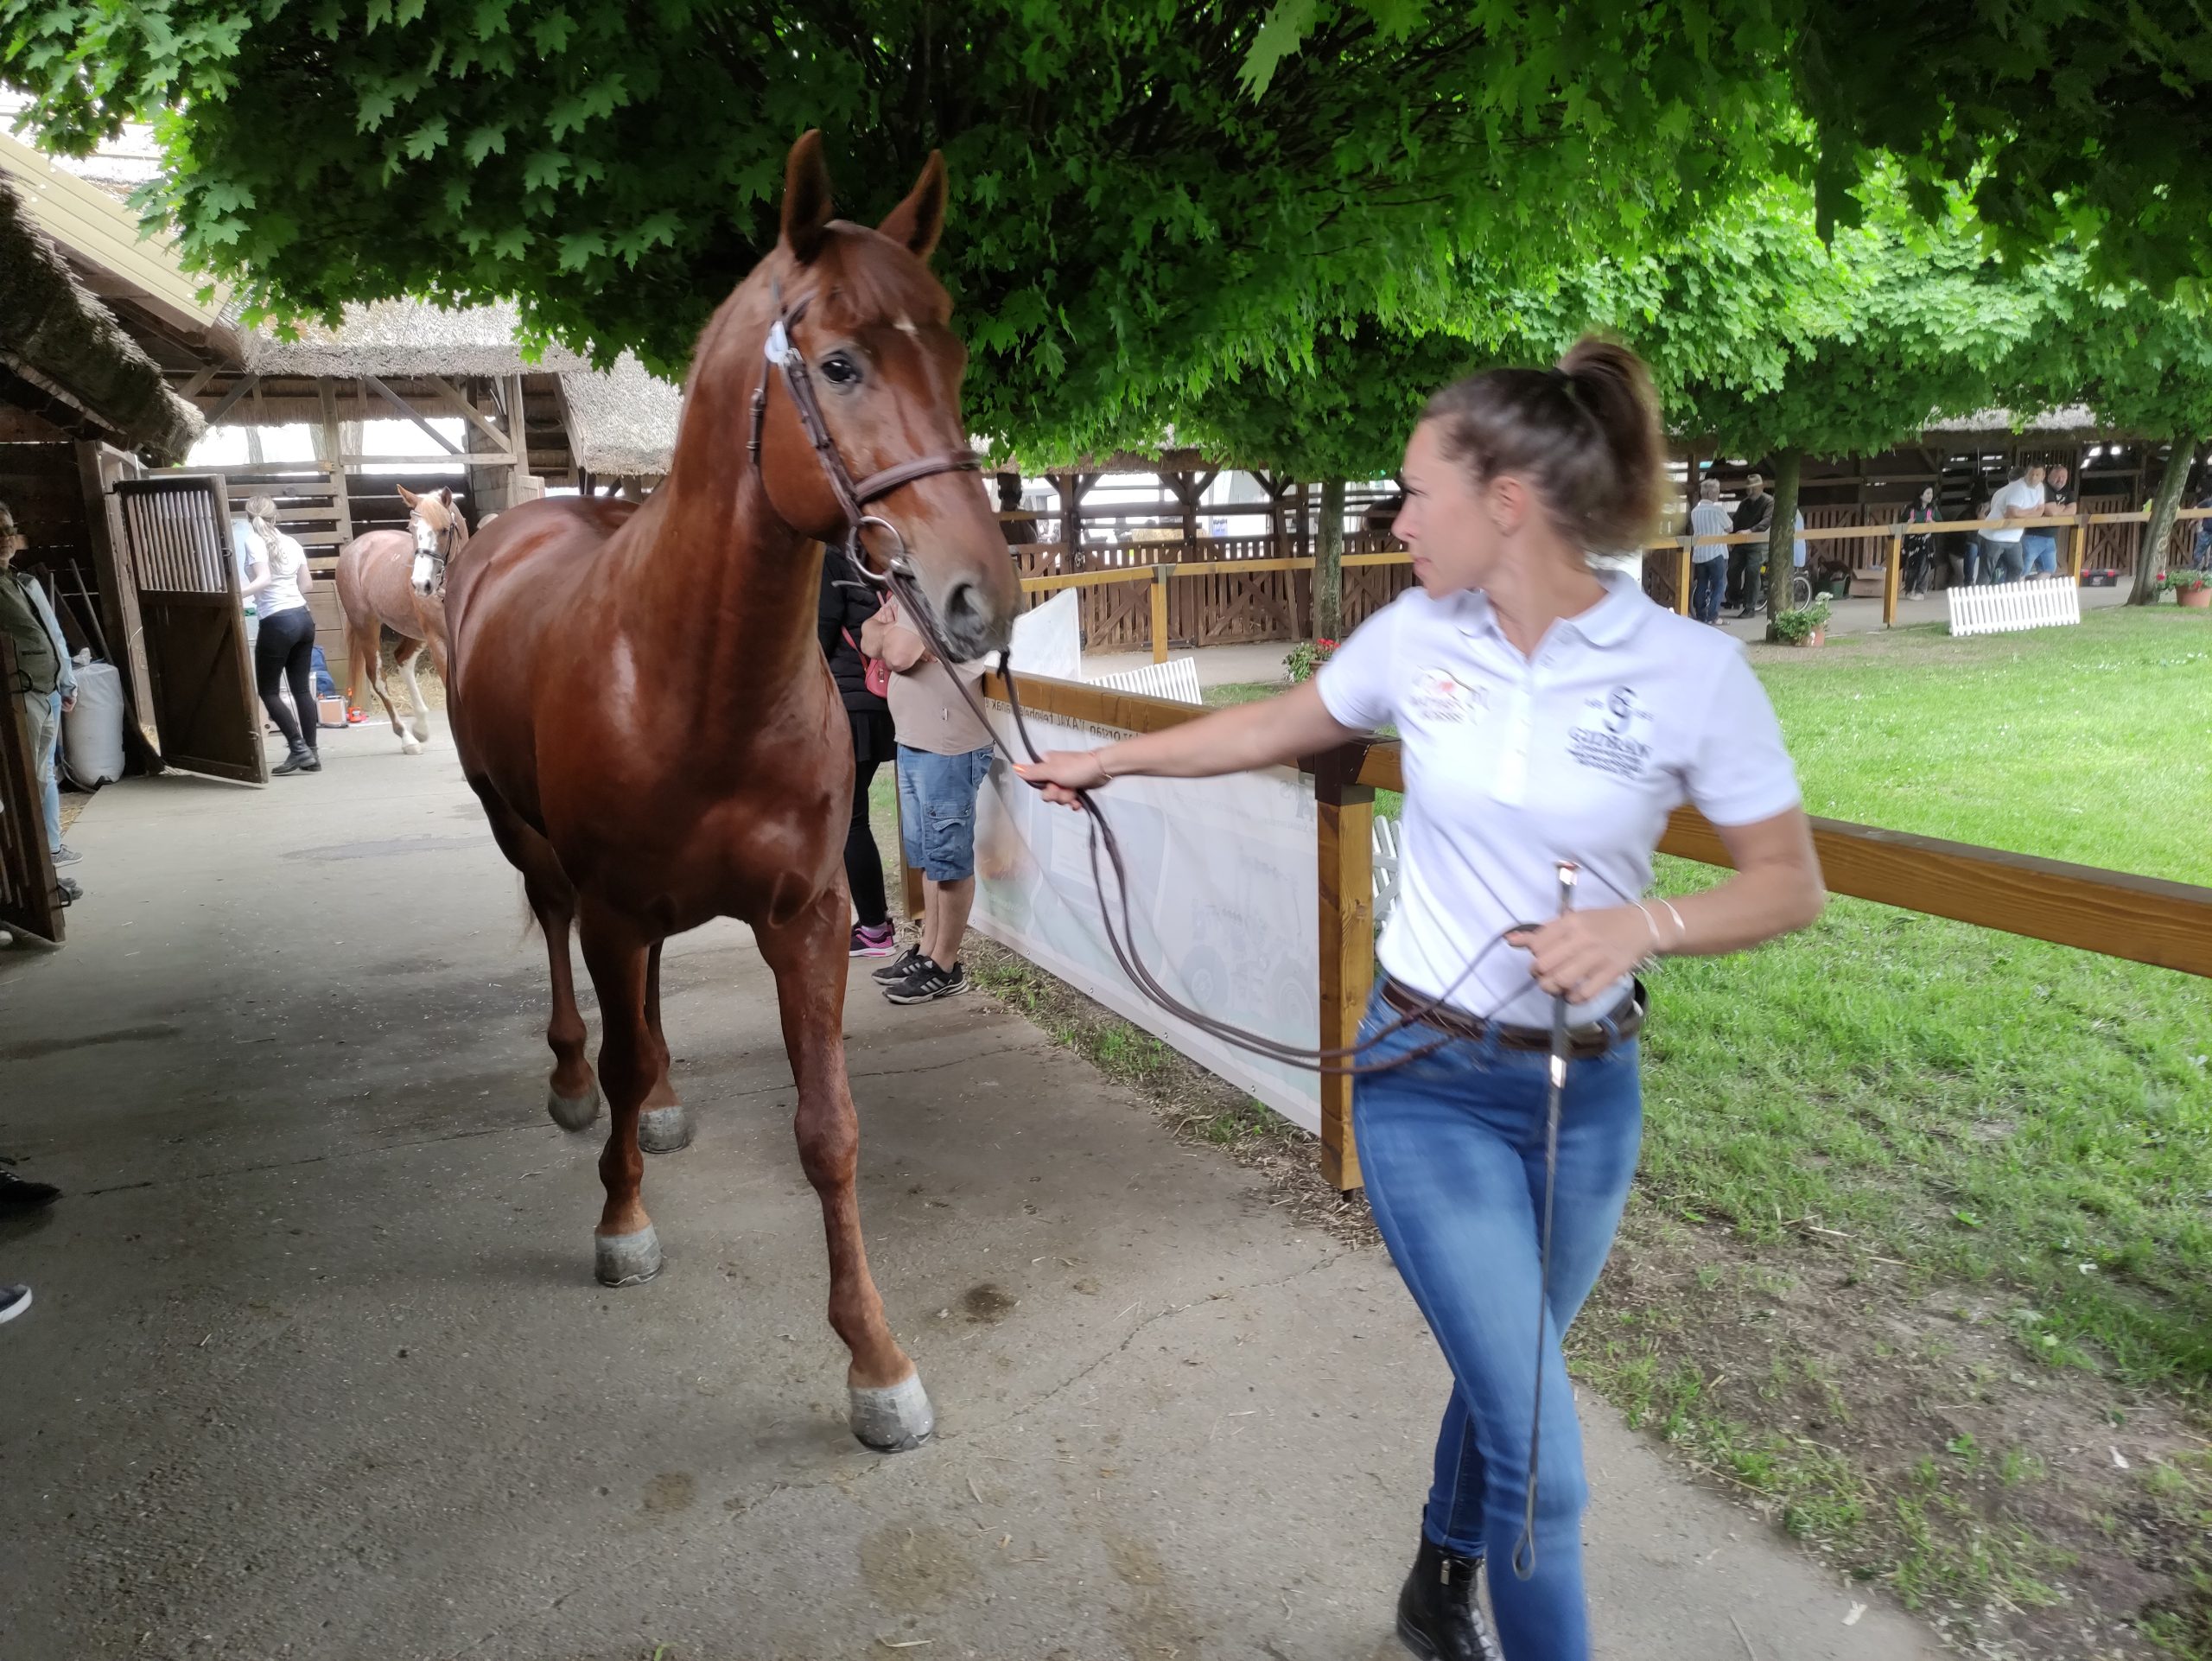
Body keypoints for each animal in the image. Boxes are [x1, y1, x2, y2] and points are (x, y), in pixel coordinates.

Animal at [327, 487, 462, 752]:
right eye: (411, 529)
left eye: (443, 530)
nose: (421, 584)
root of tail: (357, 547)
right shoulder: (439, 643)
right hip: (367, 627)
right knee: (377, 677)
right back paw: (407, 737)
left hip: (414, 633)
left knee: (402, 659)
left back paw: (420, 727)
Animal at [444, 133, 1013, 1450]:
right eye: (841, 362)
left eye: (954, 353)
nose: (980, 596)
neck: (689, 675)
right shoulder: (614, 905)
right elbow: (617, 1049)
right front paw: (622, 1222)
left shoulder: (806, 916)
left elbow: (829, 1129)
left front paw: (875, 1362)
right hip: (528, 841)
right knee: (563, 953)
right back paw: (575, 1087)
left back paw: (659, 1101)